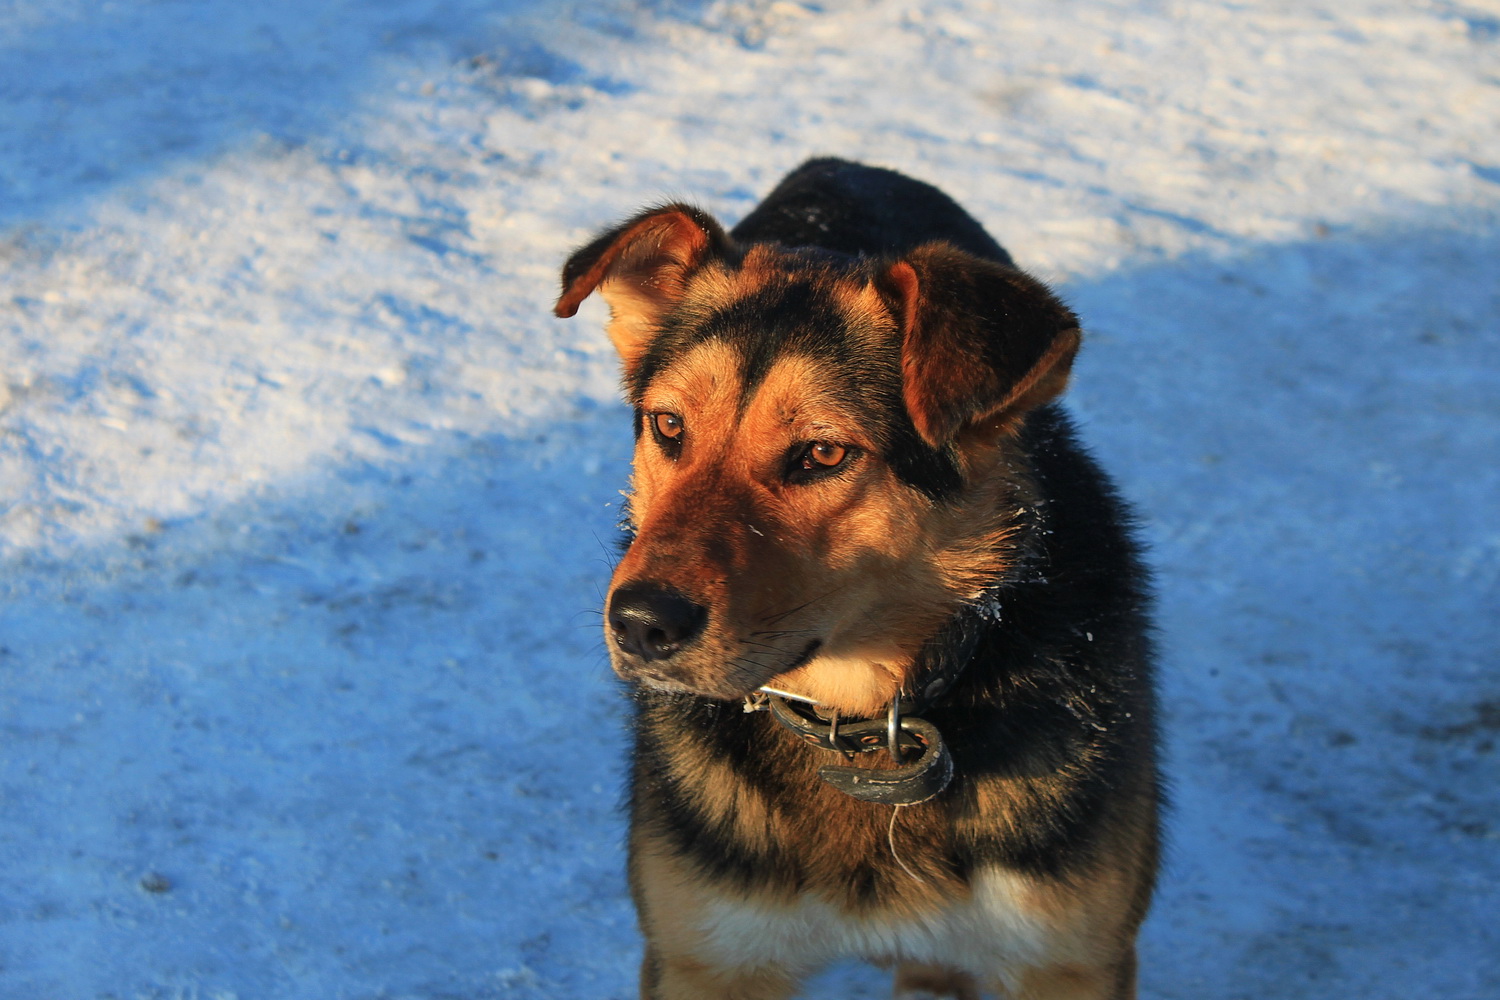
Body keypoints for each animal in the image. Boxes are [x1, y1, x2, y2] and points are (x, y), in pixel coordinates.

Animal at [558, 158, 1152, 1000]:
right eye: (668, 426)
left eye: (824, 454)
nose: (639, 623)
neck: (861, 723)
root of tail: (845, 166)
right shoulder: (707, 957)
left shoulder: (1069, 959)